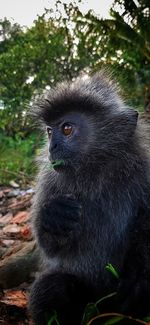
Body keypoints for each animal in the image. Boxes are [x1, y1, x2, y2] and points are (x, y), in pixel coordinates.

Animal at [29, 71, 150, 324]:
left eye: (66, 129)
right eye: (49, 131)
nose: (52, 147)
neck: (96, 170)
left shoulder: (144, 168)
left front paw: (138, 280)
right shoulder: (50, 181)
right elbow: (49, 249)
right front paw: (54, 216)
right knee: (50, 287)